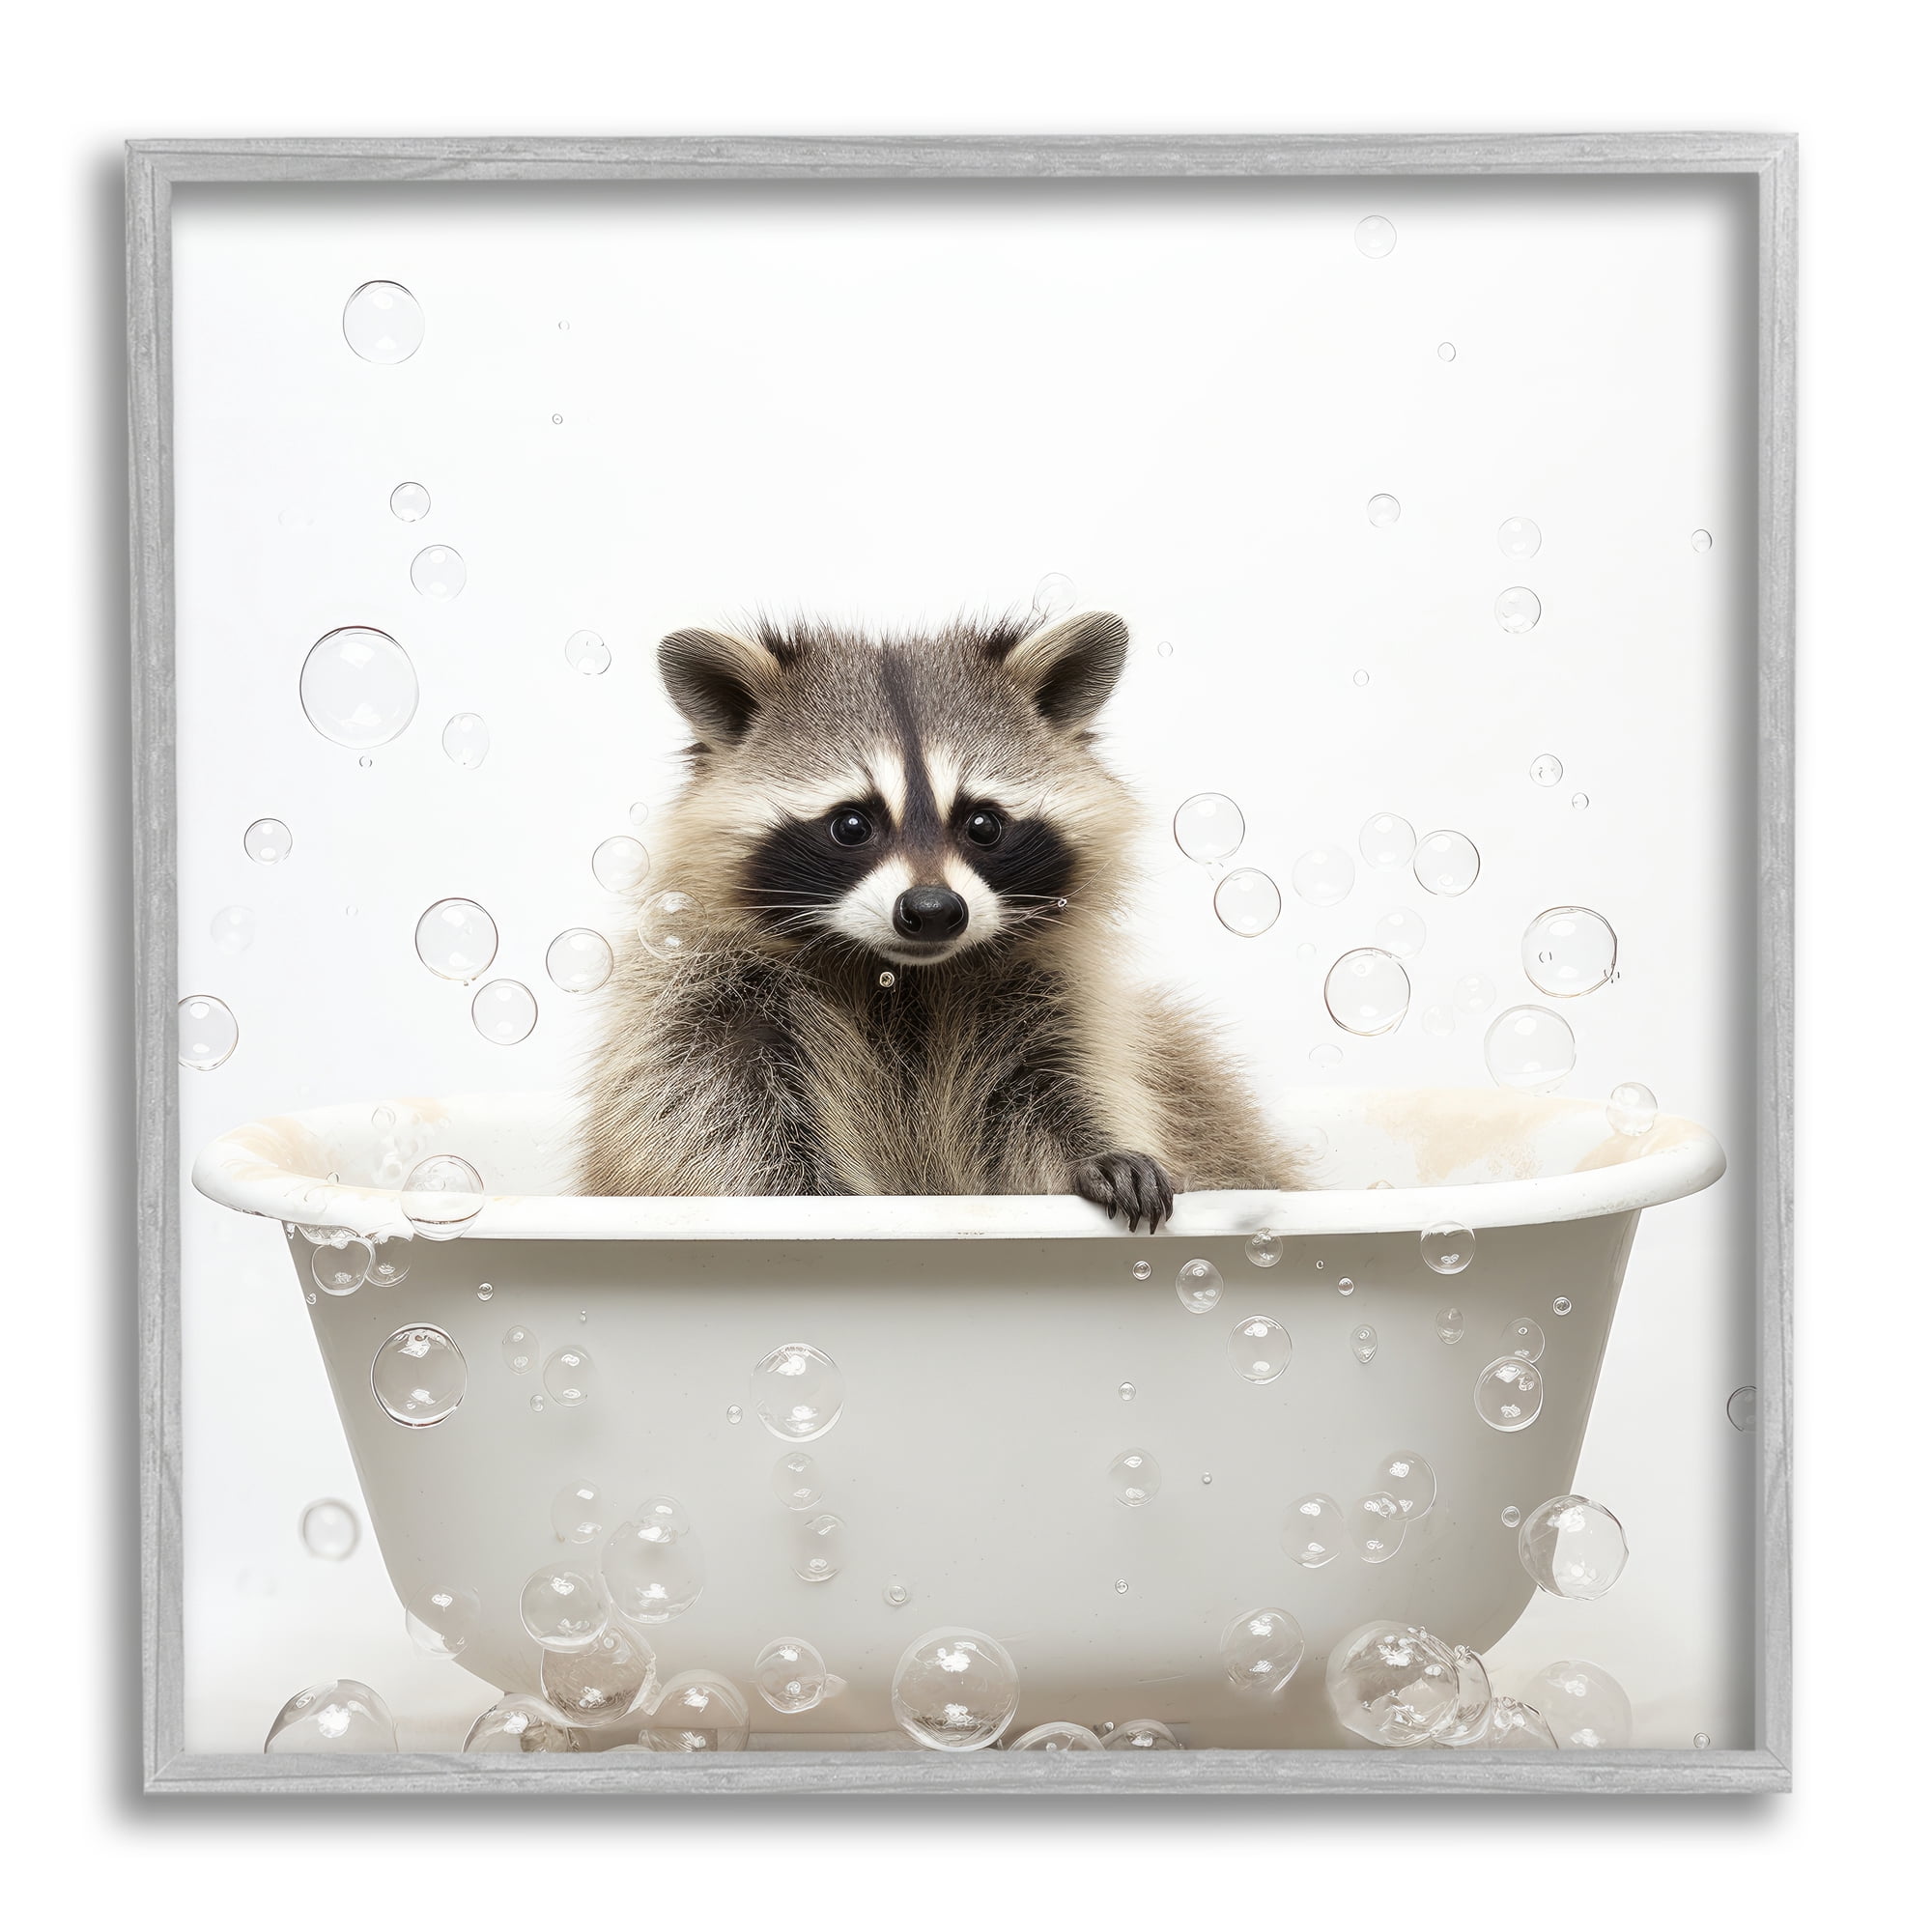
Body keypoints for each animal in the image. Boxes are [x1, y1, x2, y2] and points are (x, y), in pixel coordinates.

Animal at [577, 609, 1299, 1228]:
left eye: (983, 824)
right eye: (851, 825)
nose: (932, 912)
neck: (901, 974)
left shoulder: (1050, 991)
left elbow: (1059, 1084)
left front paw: (1097, 1146)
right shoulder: (706, 996)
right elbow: (706, 1116)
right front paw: (805, 1196)